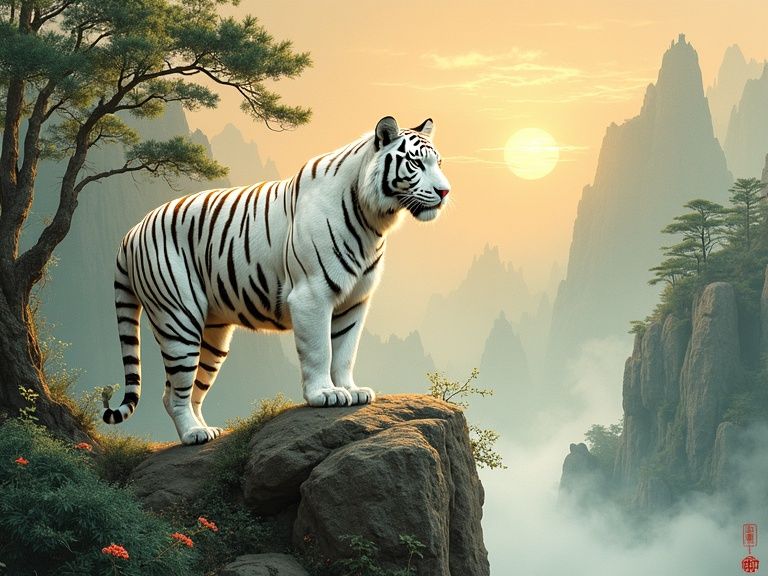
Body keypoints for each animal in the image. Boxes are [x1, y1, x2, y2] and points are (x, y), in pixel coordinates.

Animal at [102, 116, 451, 445]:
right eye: (416, 163)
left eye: (438, 163)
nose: (445, 192)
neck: (373, 218)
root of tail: (130, 233)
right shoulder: (312, 295)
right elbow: (321, 349)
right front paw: (325, 394)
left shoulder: (355, 301)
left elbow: (345, 351)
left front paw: (352, 390)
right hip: (177, 318)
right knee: (175, 392)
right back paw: (193, 435)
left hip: (211, 335)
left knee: (186, 390)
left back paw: (207, 430)